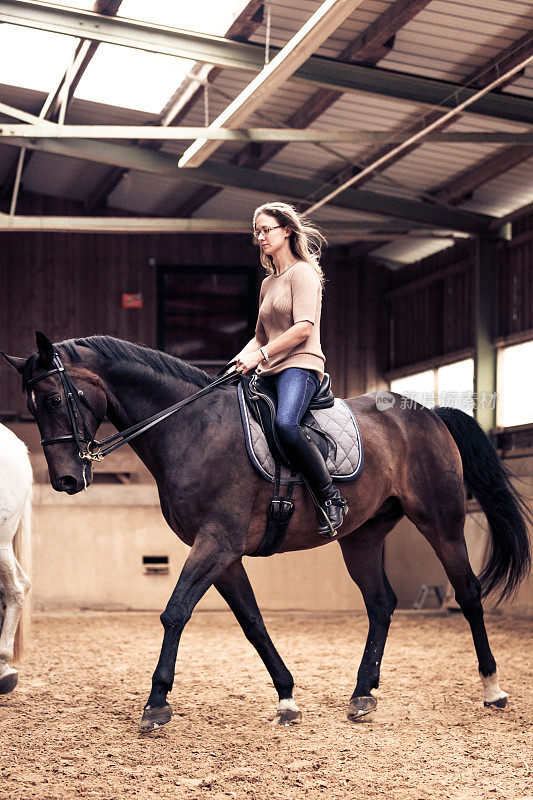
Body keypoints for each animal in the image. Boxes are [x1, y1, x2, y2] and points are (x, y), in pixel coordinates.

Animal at [3, 332, 528, 732]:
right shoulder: (223, 553)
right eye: (32, 405)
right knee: (381, 603)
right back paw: (362, 694)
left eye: (54, 398)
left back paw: (492, 688)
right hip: (362, 536)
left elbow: (175, 612)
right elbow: (252, 622)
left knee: (468, 594)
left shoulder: (216, 542)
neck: (191, 427)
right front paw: (287, 697)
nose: (65, 480)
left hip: (441, 522)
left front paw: (156, 702)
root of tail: (429, 413)